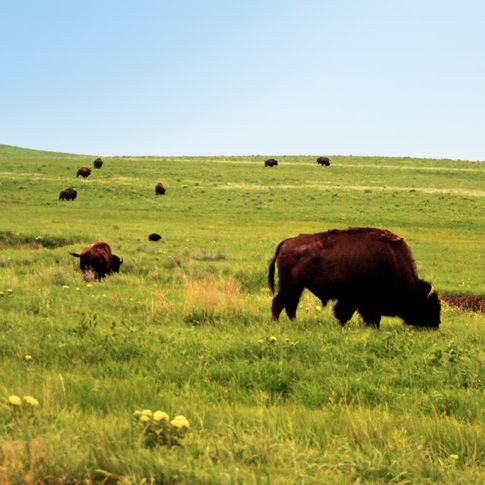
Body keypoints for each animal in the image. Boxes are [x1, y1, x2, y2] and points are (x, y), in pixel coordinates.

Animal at [266, 228, 440, 328]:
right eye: (428, 306)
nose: (435, 324)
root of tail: (286, 242)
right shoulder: (359, 300)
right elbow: (351, 314)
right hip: (290, 286)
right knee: (279, 303)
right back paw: (276, 323)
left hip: (297, 287)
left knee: (290, 305)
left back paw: (293, 323)